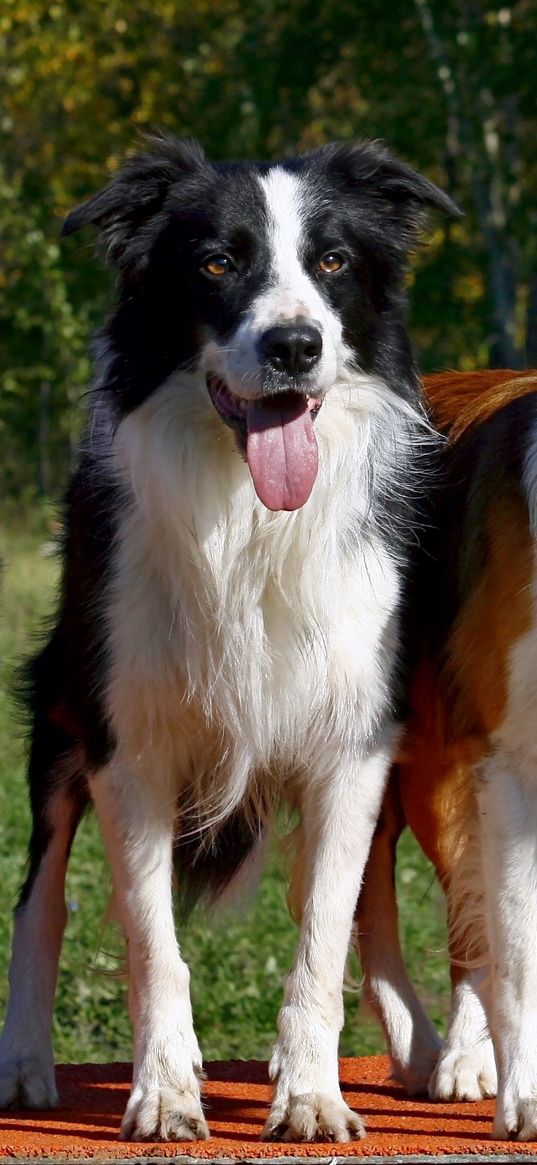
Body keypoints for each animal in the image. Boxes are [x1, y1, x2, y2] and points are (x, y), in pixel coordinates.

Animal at [0, 136, 451, 1137]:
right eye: (215, 263)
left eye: (332, 262)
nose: (295, 345)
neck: (247, 516)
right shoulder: (129, 743)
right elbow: (151, 942)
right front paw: (165, 1089)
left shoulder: (354, 744)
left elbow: (322, 929)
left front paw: (312, 1092)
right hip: (60, 713)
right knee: (39, 899)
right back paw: (23, 1063)